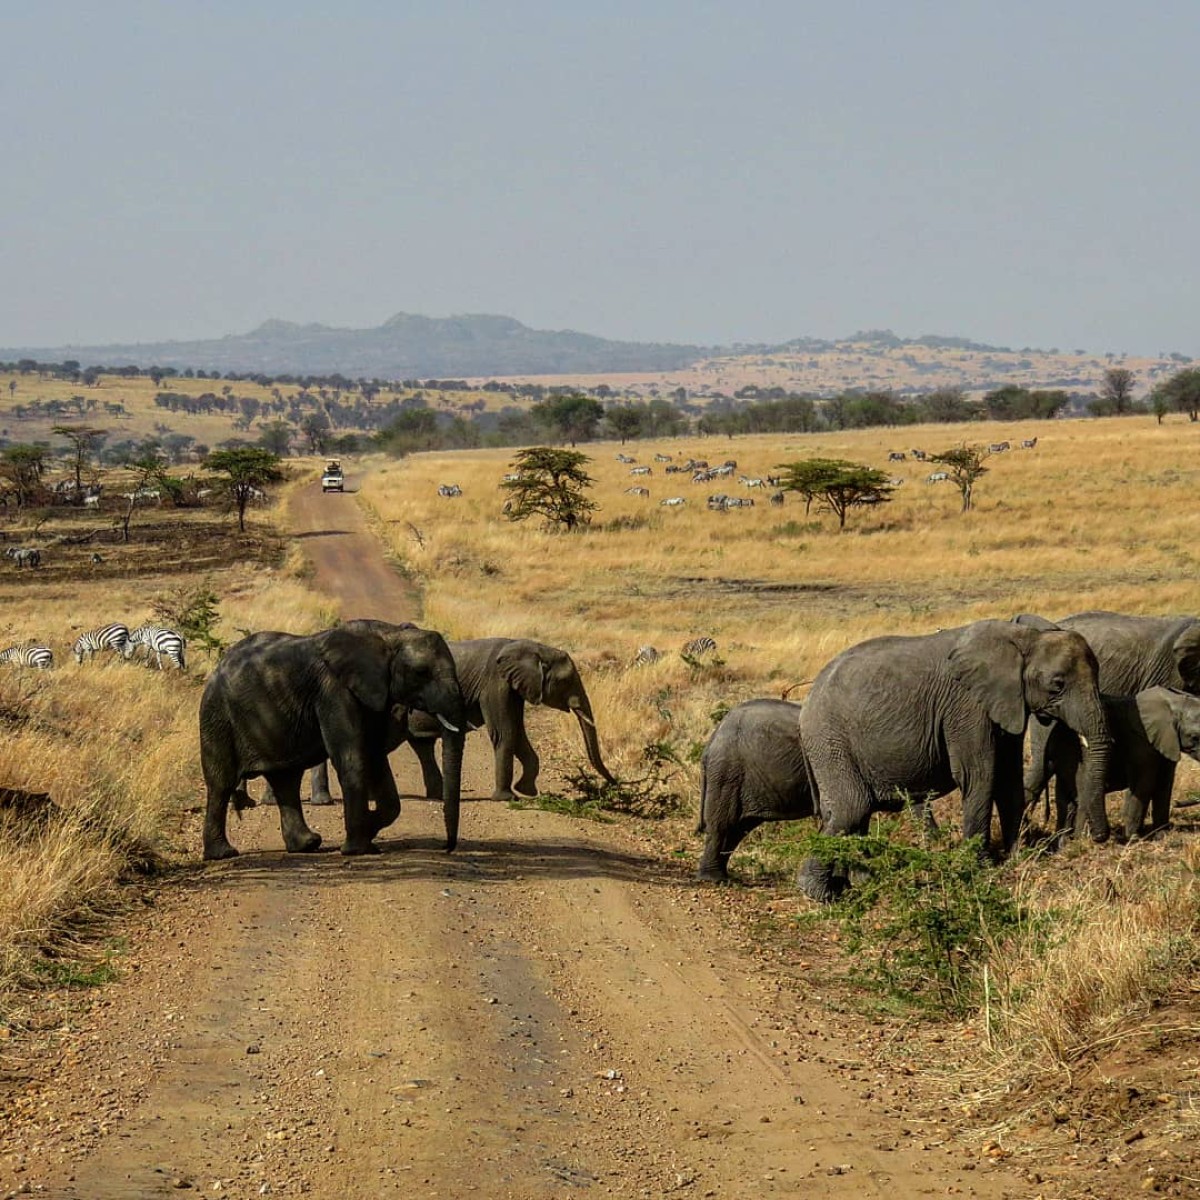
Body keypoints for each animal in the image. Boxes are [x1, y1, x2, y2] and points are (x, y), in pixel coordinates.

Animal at [196, 619, 463, 864]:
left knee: (286, 779)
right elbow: (353, 757)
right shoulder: (333, 691)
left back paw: (307, 845)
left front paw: (369, 830)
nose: (448, 848)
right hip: (216, 715)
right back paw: (222, 854)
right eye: (421, 672)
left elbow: (375, 755)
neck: (389, 634)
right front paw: (358, 849)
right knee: (221, 783)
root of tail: (216, 669)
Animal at [792, 619, 1108, 902]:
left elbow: (1008, 780)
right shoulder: (967, 706)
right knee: (852, 808)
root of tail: (807, 702)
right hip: (830, 740)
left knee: (856, 812)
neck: (1026, 637)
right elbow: (979, 775)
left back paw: (862, 881)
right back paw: (820, 893)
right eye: (1057, 684)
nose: (1098, 839)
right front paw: (978, 868)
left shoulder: (1008, 705)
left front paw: (1019, 857)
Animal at [1036, 686, 1200, 844]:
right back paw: (1080, 840)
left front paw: (1162, 836)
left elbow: (1164, 786)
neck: (1175, 702)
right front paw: (1133, 839)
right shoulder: (1142, 742)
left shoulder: (1167, 742)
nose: (1177, 804)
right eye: (1195, 737)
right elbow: (1144, 786)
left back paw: (1064, 842)